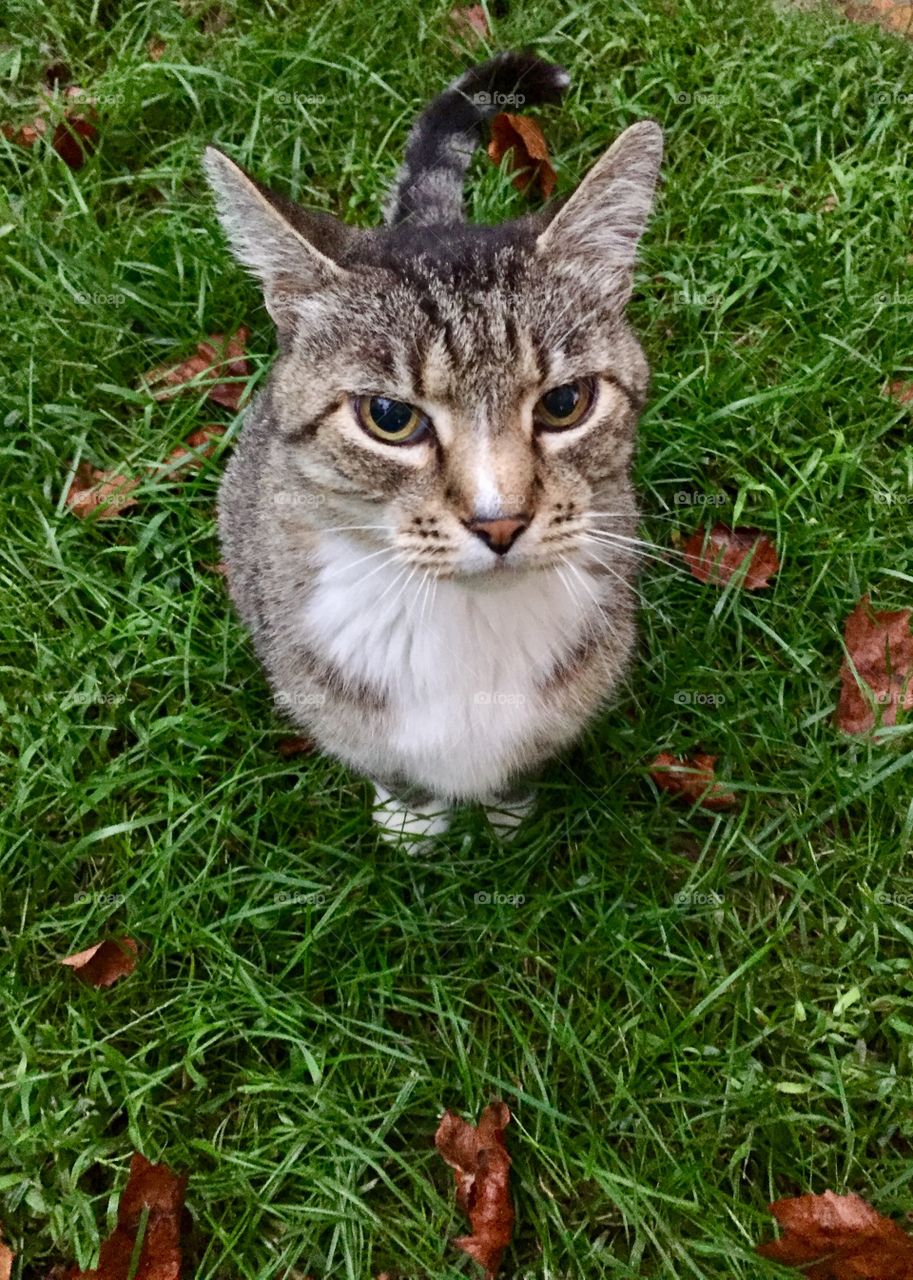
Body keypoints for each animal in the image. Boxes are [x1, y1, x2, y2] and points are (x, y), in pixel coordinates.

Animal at [203, 49, 660, 844]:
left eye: (564, 404)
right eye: (389, 416)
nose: (500, 521)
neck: (466, 623)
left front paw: (507, 812)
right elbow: (388, 763)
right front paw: (412, 823)